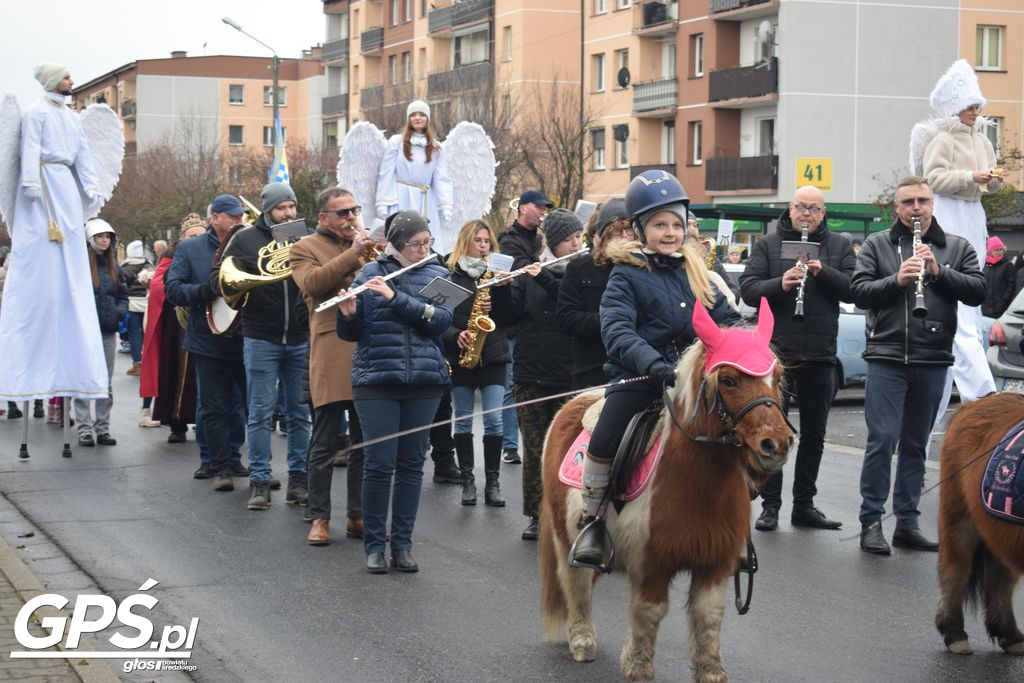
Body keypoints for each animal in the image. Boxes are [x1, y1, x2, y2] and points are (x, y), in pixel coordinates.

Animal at [540, 325, 794, 679]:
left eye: (777, 377)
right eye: (729, 380)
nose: (777, 444)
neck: (698, 484)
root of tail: (573, 402)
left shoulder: (714, 565)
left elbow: (709, 616)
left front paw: (711, 672)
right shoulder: (652, 565)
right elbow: (649, 614)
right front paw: (637, 668)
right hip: (565, 539)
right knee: (574, 584)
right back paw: (582, 641)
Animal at [937, 393, 1024, 655]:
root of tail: (976, 403)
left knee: (1000, 580)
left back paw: (1010, 635)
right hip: (960, 524)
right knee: (955, 571)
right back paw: (954, 633)